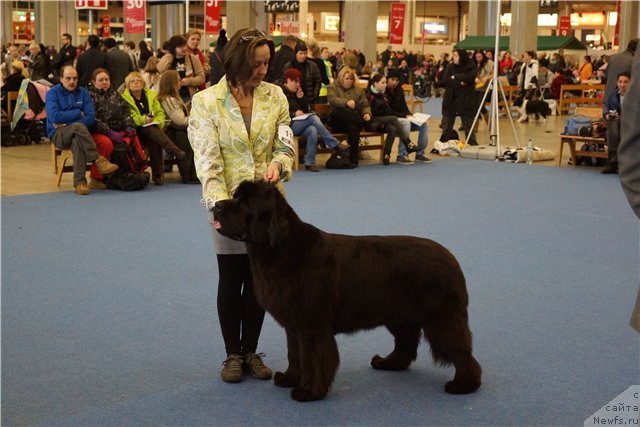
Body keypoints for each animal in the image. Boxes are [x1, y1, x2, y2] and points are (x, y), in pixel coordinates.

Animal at [212, 181, 482, 402]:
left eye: (244, 203)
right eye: (235, 195)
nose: (216, 205)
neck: (279, 249)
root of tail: (451, 259)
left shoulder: (312, 326)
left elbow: (312, 359)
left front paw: (308, 391)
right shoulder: (294, 326)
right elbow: (294, 354)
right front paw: (289, 378)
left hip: (441, 318)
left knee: (460, 350)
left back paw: (464, 384)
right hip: (400, 315)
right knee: (405, 342)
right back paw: (388, 363)